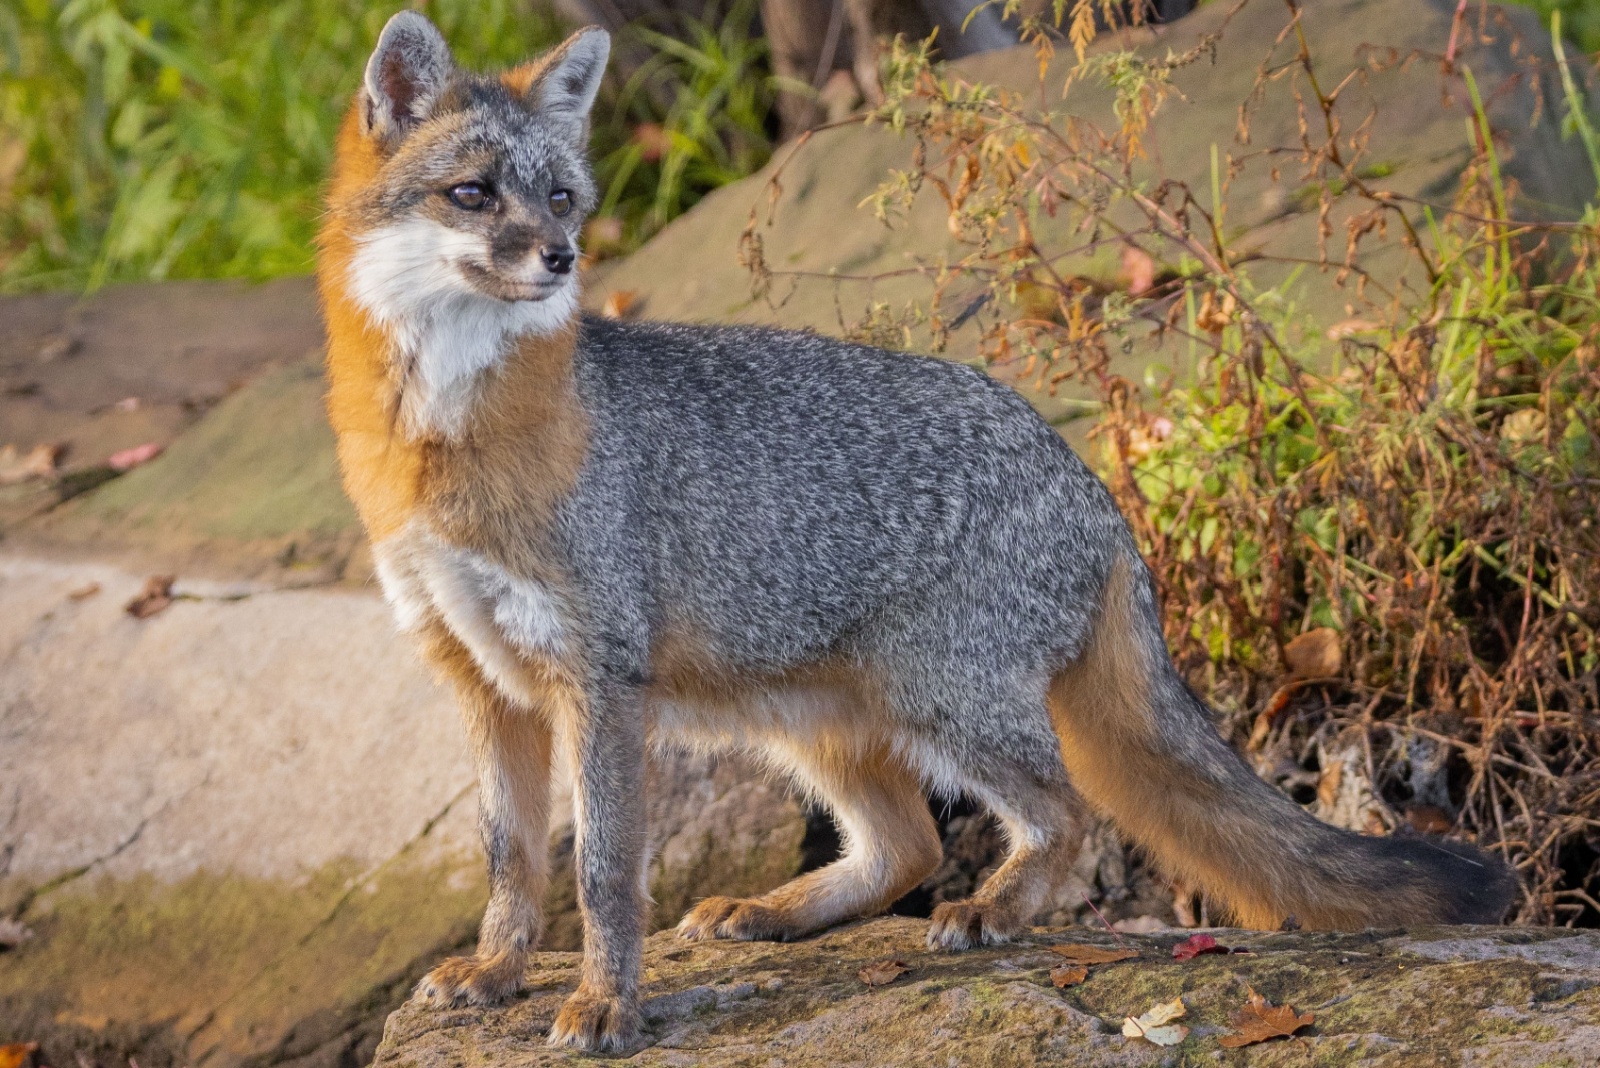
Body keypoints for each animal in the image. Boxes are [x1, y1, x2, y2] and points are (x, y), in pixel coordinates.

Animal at [316, 12, 1515, 1052]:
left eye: (563, 198)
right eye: (473, 195)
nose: (561, 258)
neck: (445, 442)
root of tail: (1090, 485)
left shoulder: (596, 678)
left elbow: (602, 873)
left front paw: (606, 1006)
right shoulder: (482, 680)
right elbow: (511, 861)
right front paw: (499, 974)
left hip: (937, 701)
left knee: (1063, 813)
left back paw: (994, 909)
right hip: (811, 720)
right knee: (907, 843)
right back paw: (778, 911)